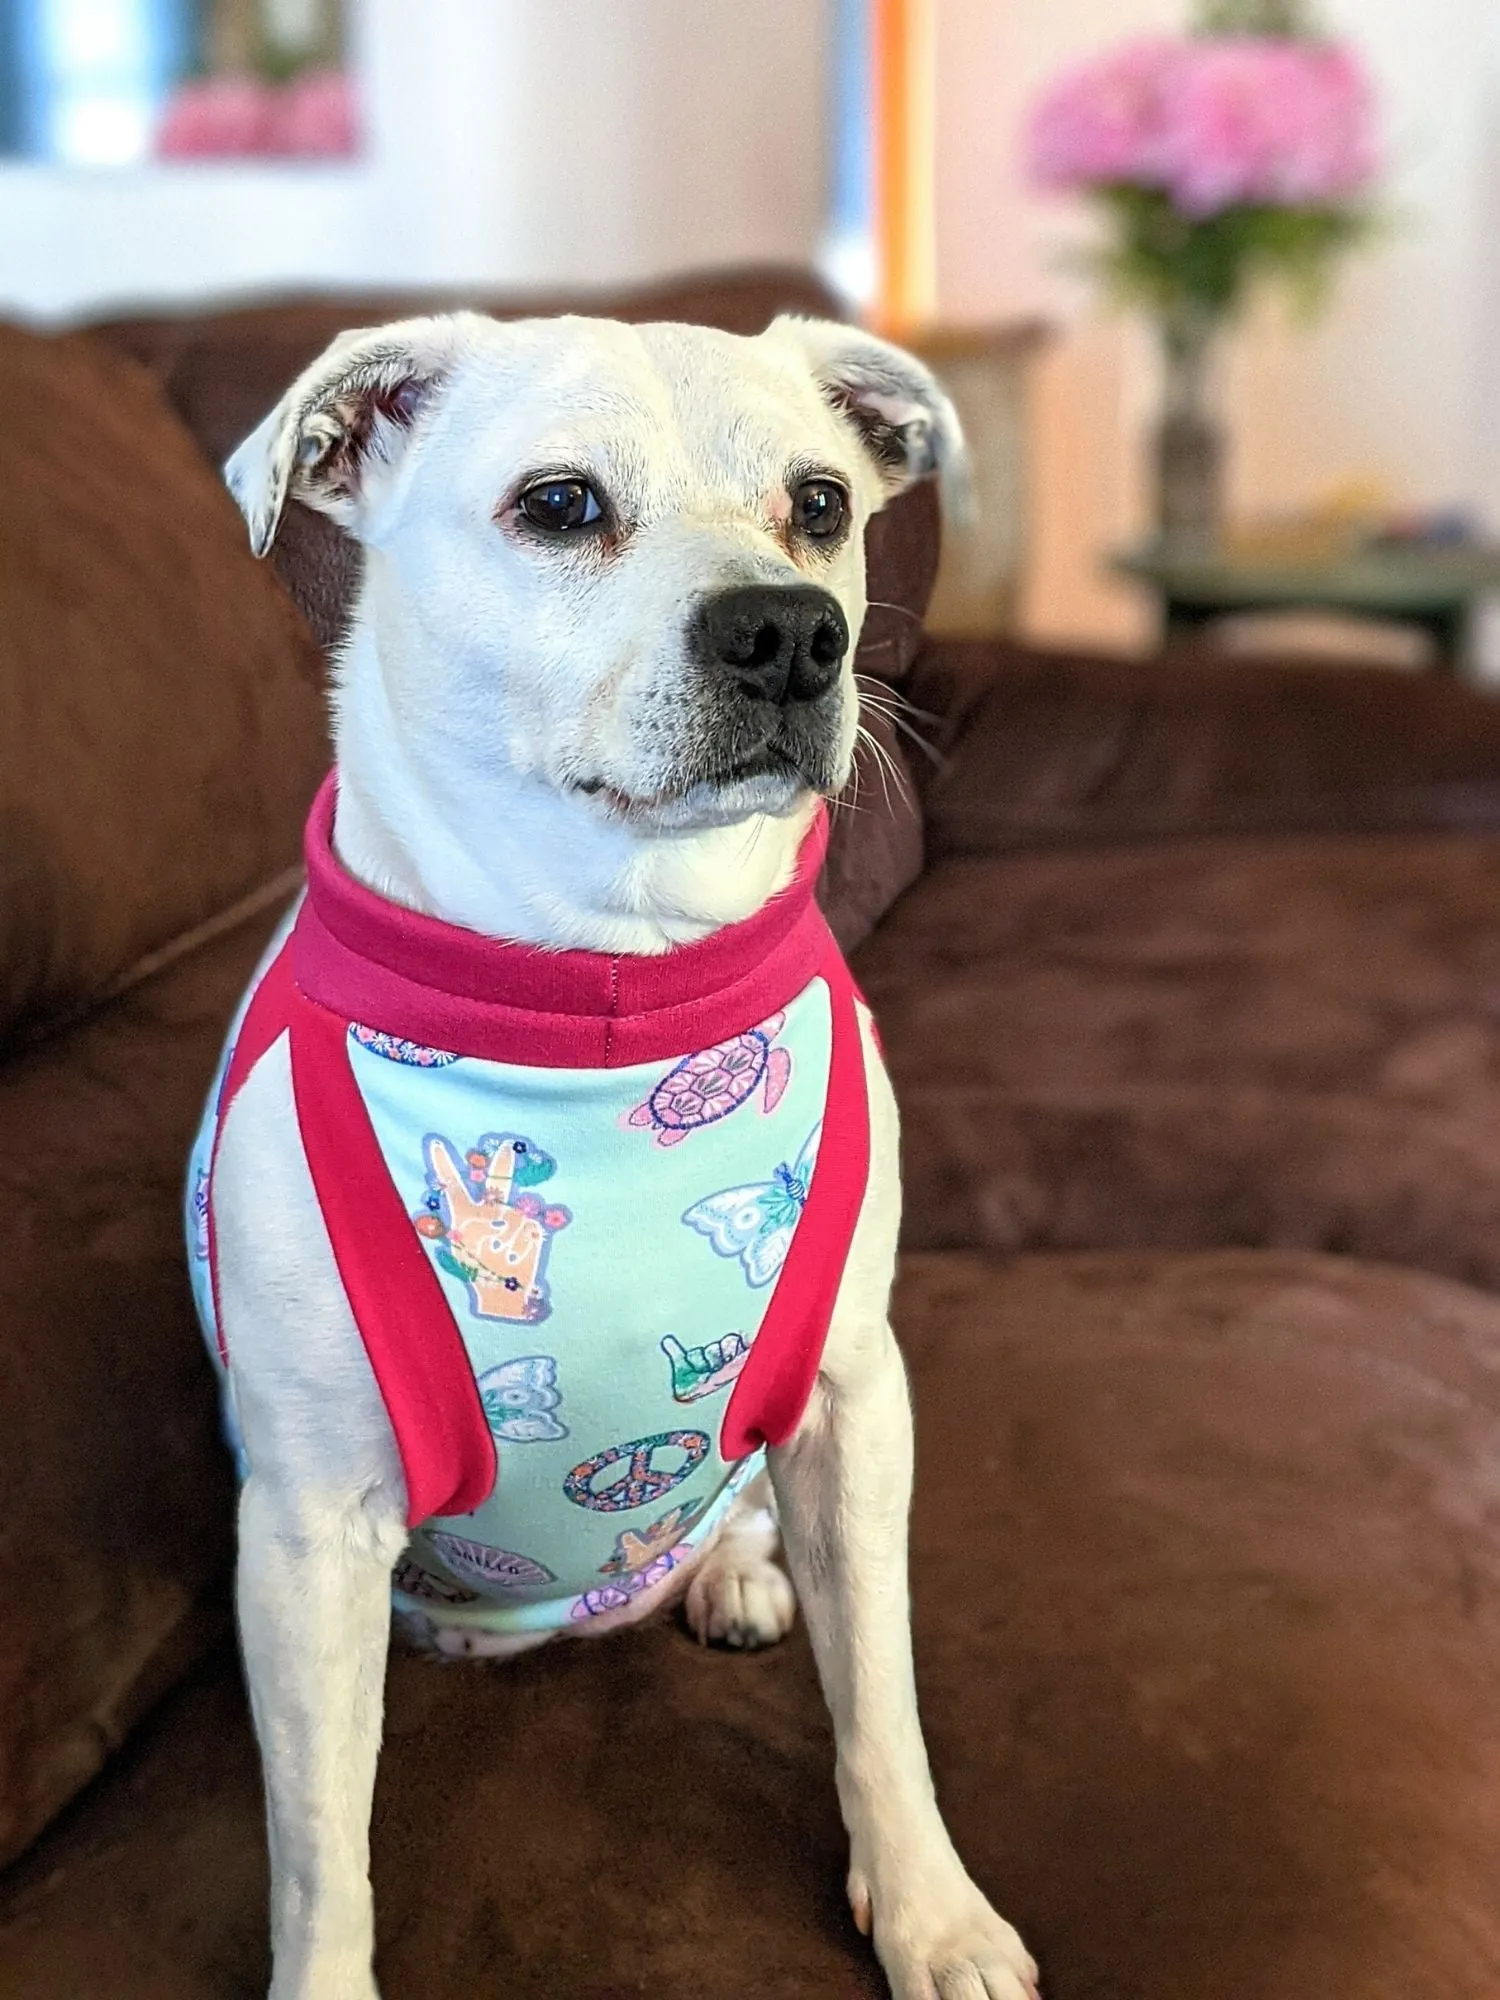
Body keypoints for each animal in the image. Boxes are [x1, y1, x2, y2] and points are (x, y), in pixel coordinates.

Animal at [194, 312, 1040, 2000]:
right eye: (561, 504)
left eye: (822, 505)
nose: (789, 633)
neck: (612, 979)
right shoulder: (307, 1531)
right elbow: (320, 1850)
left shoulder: (854, 1406)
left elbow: (883, 1703)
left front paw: (930, 1912)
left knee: (748, 1520)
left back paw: (732, 1569)